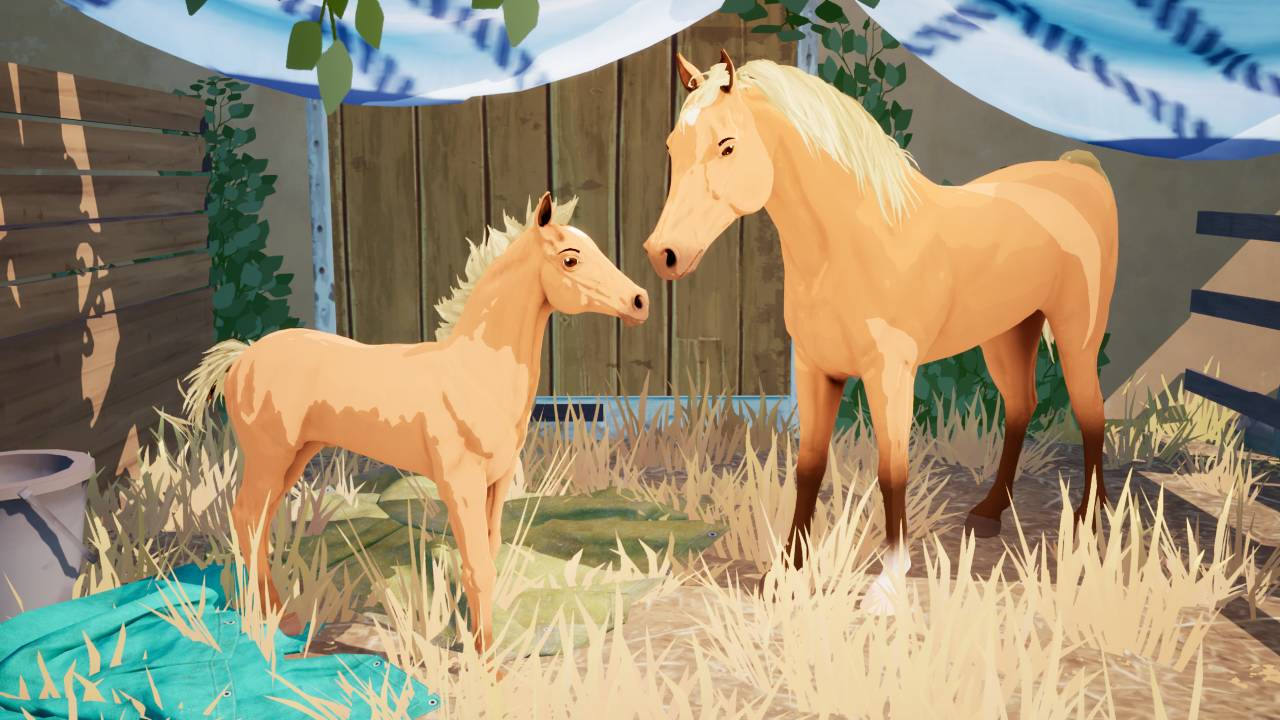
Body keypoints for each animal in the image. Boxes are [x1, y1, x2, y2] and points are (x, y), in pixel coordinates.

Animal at [183, 192, 649, 650]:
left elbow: (490, 558)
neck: (476, 373)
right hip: (269, 457)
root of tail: (243, 355)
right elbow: (476, 567)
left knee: (259, 522)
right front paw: (486, 663)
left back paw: (284, 619)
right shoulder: (460, 484)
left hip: (295, 457)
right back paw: (265, 621)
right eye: (570, 259)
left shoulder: (496, 483)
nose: (640, 301)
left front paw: (487, 646)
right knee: (246, 518)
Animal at [645, 51, 1117, 613]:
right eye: (671, 146)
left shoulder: (891, 373)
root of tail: (1078, 173)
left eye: (728, 144)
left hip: (1076, 335)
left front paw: (888, 583)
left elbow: (892, 471)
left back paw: (1090, 524)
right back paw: (989, 513)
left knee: (1091, 415)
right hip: (1006, 336)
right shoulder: (816, 370)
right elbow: (808, 467)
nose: (663, 253)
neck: (852, 244)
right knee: (1022, 408)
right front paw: (787, 573)